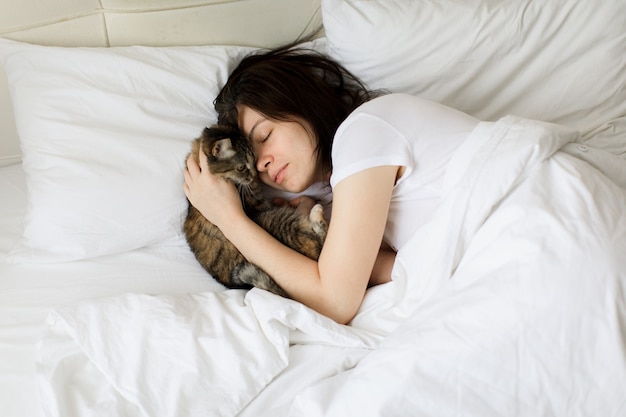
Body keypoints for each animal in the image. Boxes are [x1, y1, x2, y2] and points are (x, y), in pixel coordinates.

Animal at [182, 125, 324, 298]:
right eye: (242, 167)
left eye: (254, 160)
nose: (255, 175)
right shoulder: (258, 204)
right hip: (275, 221)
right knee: (319, 241)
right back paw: (316, 211)